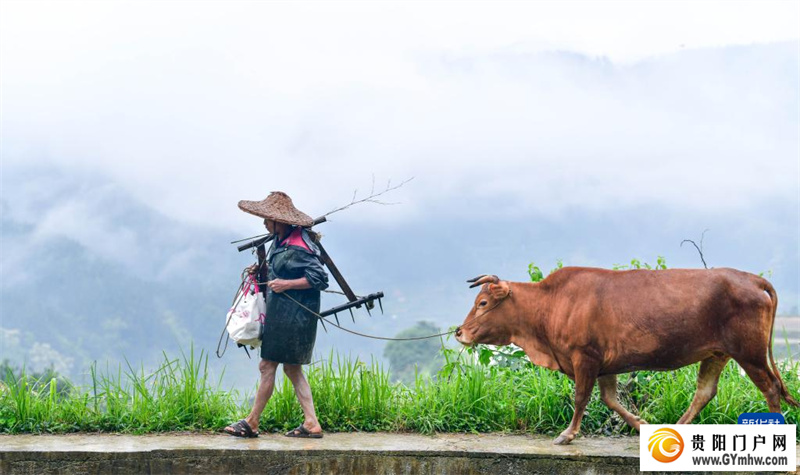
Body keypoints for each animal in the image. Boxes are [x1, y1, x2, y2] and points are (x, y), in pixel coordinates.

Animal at [454, 268, 796, 446]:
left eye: (483, 303)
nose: (459, 332)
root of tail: (751, 278)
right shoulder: (606, 364)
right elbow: (610, 399)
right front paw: (642, 425)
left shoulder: (585, 357)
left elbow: (581, 397)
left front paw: (568, 434)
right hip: (717, 352)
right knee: (705, 392)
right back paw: (678, 428)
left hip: (749, 353)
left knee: (769, 388)